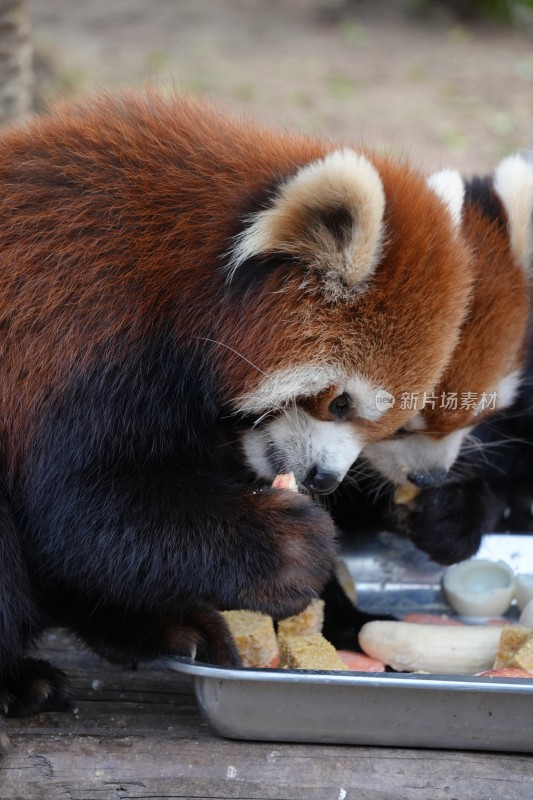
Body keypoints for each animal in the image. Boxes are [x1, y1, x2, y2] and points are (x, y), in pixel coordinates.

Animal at [0, 89, 470, 720]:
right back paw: (18, 679)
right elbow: (81, 506)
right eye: (340, 403)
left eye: (388, 426)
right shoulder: (79, 328)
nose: (324, 479)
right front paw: (288, 547)